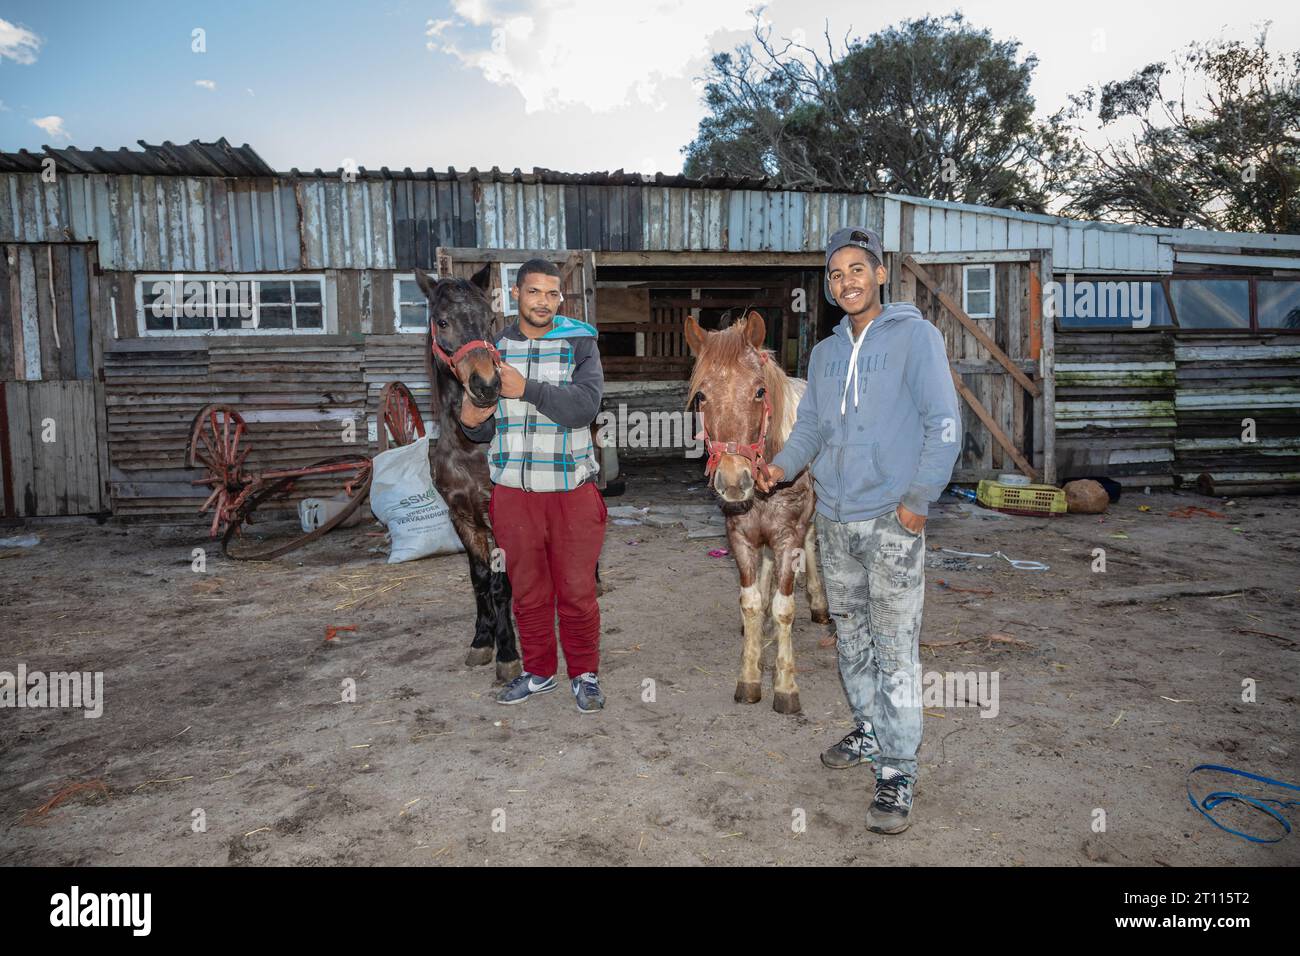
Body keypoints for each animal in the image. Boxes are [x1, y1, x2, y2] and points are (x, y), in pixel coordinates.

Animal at [413, 269, 520, 686]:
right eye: (442, 321)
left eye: (489, 320)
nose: (487, 385)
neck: (470, 448)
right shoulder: (463, 518)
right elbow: (479, 579)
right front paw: (482, 640)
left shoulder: (501, 518)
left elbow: (501, 584)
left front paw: (507, 653)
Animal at [686, 310, 826, 712]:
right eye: (701, 395)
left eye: (760, 391)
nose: (734, 481)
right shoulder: (741, 537)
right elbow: (750, 602)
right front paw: (750, 675)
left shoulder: (788, 537)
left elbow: (784, 607)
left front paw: (785, 685)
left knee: (812, 545)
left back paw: (819, 604)